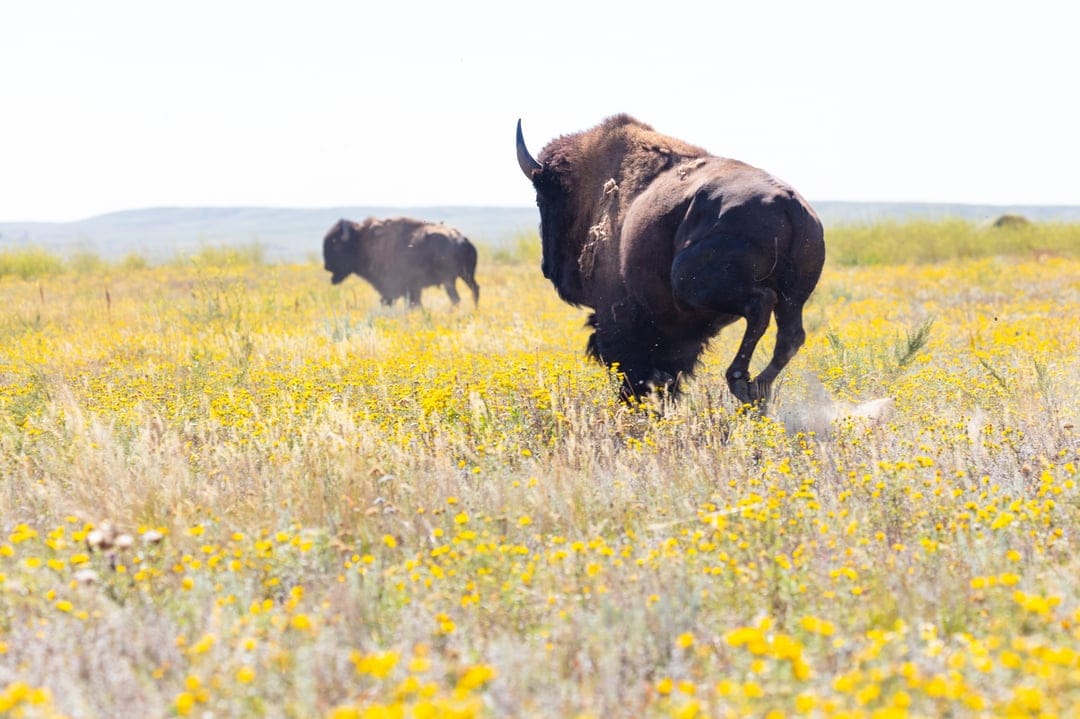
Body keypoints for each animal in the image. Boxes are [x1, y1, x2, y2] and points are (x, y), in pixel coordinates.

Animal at [323, 217, 480, 307]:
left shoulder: (396, 289)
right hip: (466, 276)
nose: (327, 266)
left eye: (336, 245)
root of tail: (462, 240)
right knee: (474, 290)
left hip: (449, 280)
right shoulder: (410, 290)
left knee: (456, 298)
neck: (361, 242)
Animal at [516, 115, 825, 405]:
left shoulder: (617, 317)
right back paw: (758, 390)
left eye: (543, 199)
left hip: (694, 286)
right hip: (793, 297)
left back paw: (740, 382)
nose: (547, 267)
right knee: (790, 335)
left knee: (760, 305)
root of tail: (788, 203)